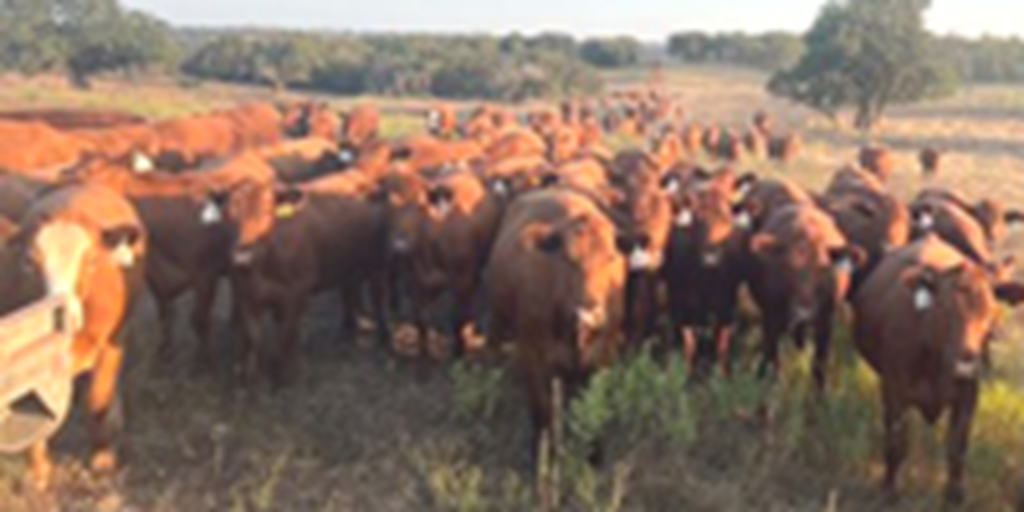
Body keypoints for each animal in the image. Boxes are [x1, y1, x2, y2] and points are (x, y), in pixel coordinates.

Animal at [5, 184, 146, 487]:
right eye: (29, 262)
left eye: (92, 260)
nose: (63, 316)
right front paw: (38, 471)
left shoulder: (110, 346)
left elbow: (98, 400)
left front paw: (103, 457)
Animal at [485, 188, 626, 464]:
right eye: (568, 260)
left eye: (610, 258)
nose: (590, 311)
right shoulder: (533, 356)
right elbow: (541, 410)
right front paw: (540, 455)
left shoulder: (603, 355)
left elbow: (593, 403)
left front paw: (593, 451)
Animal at [749, 203, 860, 387]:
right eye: (787, 267)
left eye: (823, 269)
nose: (803, 313)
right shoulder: (770, 317)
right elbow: (773, 357)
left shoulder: (825, 322)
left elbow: (819, 363)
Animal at [856, 236, 1024, 503]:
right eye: (944, 309)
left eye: (991, 313)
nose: (965, 364)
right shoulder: (894, 391)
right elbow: (896, 441)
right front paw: (889, 489)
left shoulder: (968, 394)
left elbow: (957, 446)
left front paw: (955, 494)